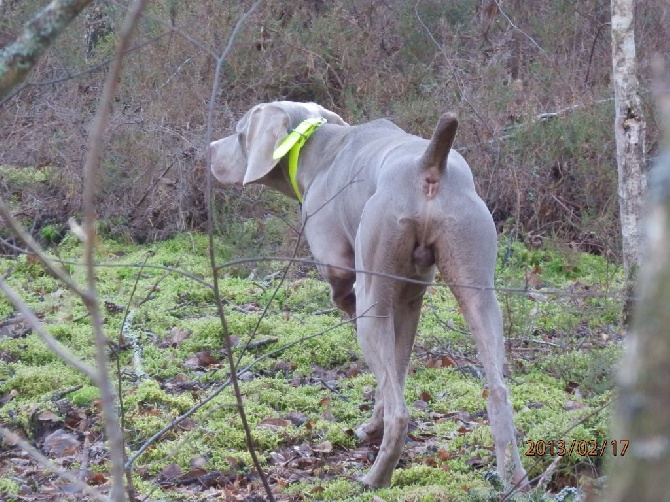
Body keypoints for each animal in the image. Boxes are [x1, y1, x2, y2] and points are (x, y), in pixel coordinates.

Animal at [213, 100, 528, 488]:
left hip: (372, 302)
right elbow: (396, 372)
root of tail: (428, 163)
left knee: (400, 413)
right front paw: (372, 424)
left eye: (238, 133)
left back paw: (375, 478)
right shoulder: (409, 299)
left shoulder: (345, 279)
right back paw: (514, 478)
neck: (320, 149)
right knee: (498, 391)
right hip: (479, 290)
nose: (208, 150)